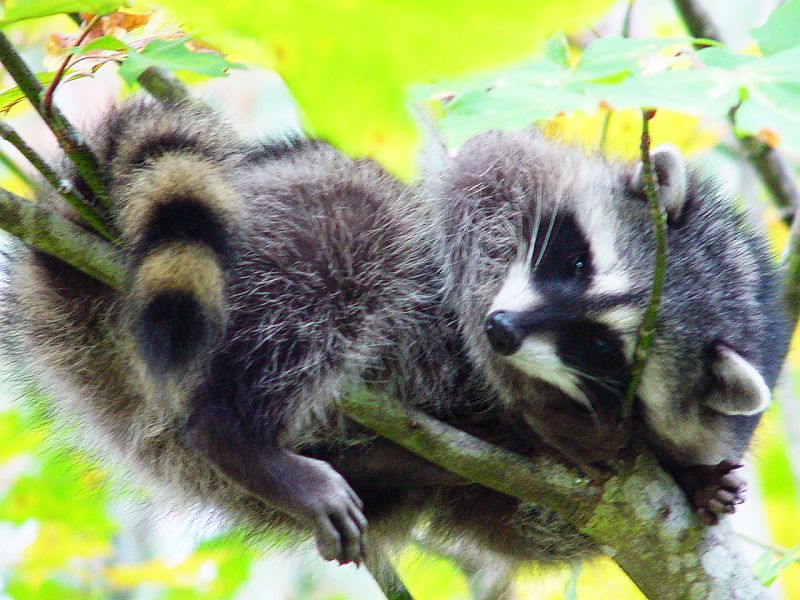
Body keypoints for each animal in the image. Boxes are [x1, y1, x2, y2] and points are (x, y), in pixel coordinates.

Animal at [428, 129, 792, 524]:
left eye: (599, 347)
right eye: (577, 264)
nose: (501, 330)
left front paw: (693, 477)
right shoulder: (519, 165)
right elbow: (477, 173)